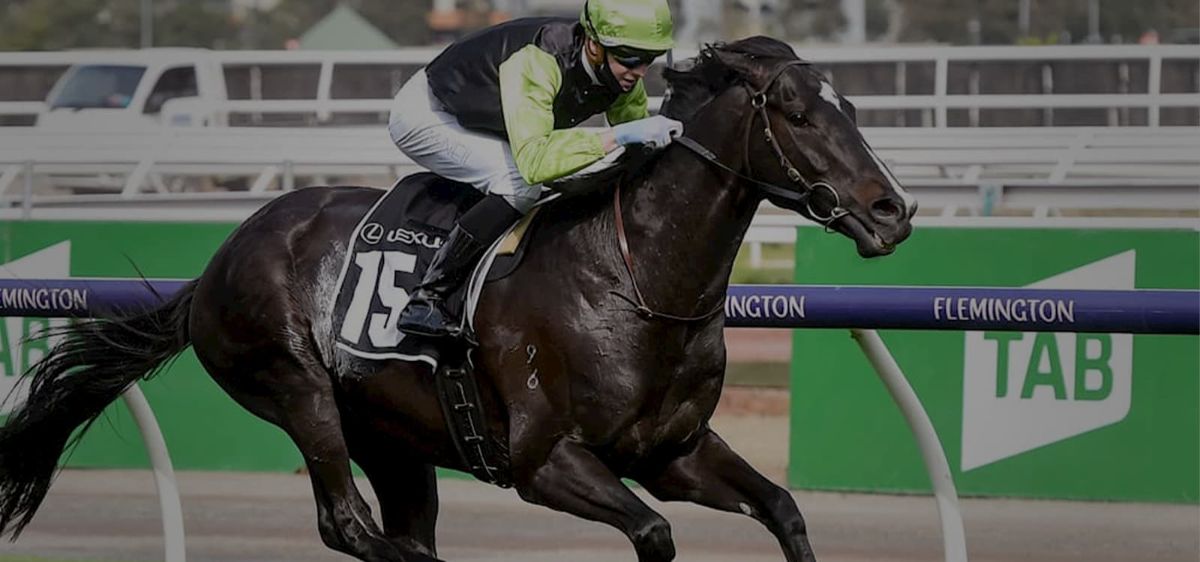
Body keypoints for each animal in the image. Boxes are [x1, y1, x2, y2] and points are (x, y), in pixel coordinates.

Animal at [0, 37, 914, 562]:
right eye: (795, 112)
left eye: (850, 104)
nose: (891, 211)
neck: (636, 278)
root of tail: (219, 259)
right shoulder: (545, 462)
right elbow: (654, 534)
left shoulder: (673, 453)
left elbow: (785, 509)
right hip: (296, 388)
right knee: (350, 526)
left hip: (393, 439)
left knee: (395, 527)